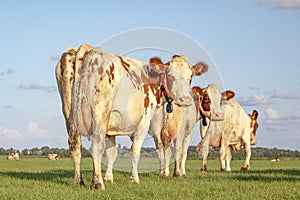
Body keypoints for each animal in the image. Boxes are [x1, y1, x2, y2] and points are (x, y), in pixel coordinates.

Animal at [55, 43, 206, 189]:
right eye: (170, 76)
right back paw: (97, 183)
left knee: (75, 147)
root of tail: (84, 50)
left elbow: (112, 153)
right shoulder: (144, 121)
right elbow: (136, 151)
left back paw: (78, 181)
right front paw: (136, 179)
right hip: (100, 111)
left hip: (69, 114)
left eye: (190, 77)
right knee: (97, 145)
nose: (185, 99)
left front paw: (109, 178)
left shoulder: (111, 127)